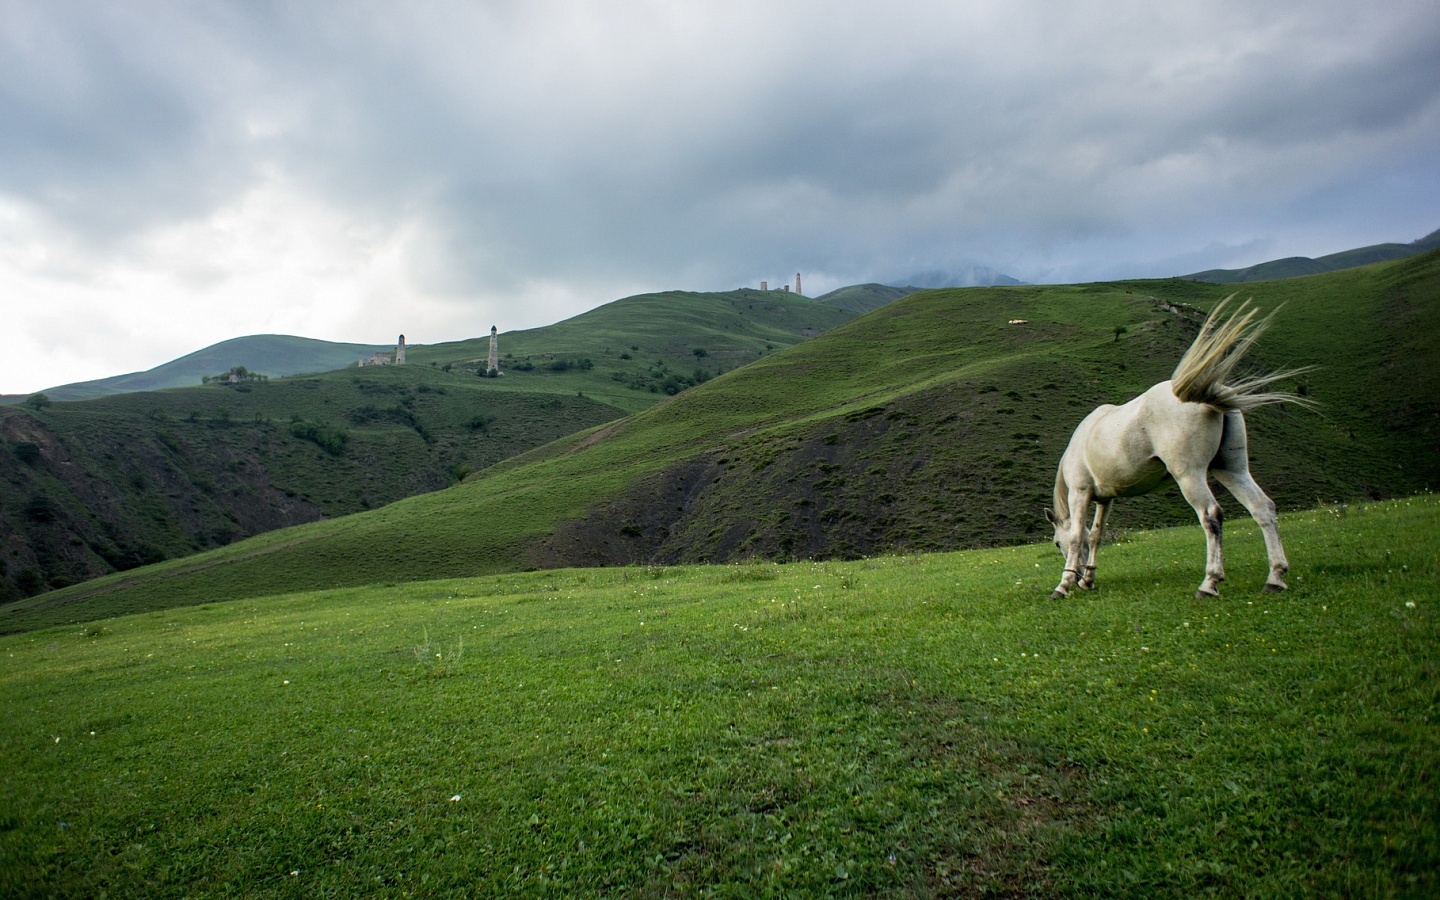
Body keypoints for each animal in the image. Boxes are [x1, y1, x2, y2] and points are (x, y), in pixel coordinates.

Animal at [1048, 298, 1319, 599]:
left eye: (1056, 543)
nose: (1079, 578)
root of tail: (1199, 394)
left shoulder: (1080, 493)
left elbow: (1077, 537)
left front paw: (1065, 584)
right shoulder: (1105, 499)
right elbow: (1095, 535)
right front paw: (1087, 580)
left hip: (1189, 475)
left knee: (1211, 515)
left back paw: (1210, 582)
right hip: (1232, 470)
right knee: (1262, 508)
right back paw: (1275, 577)